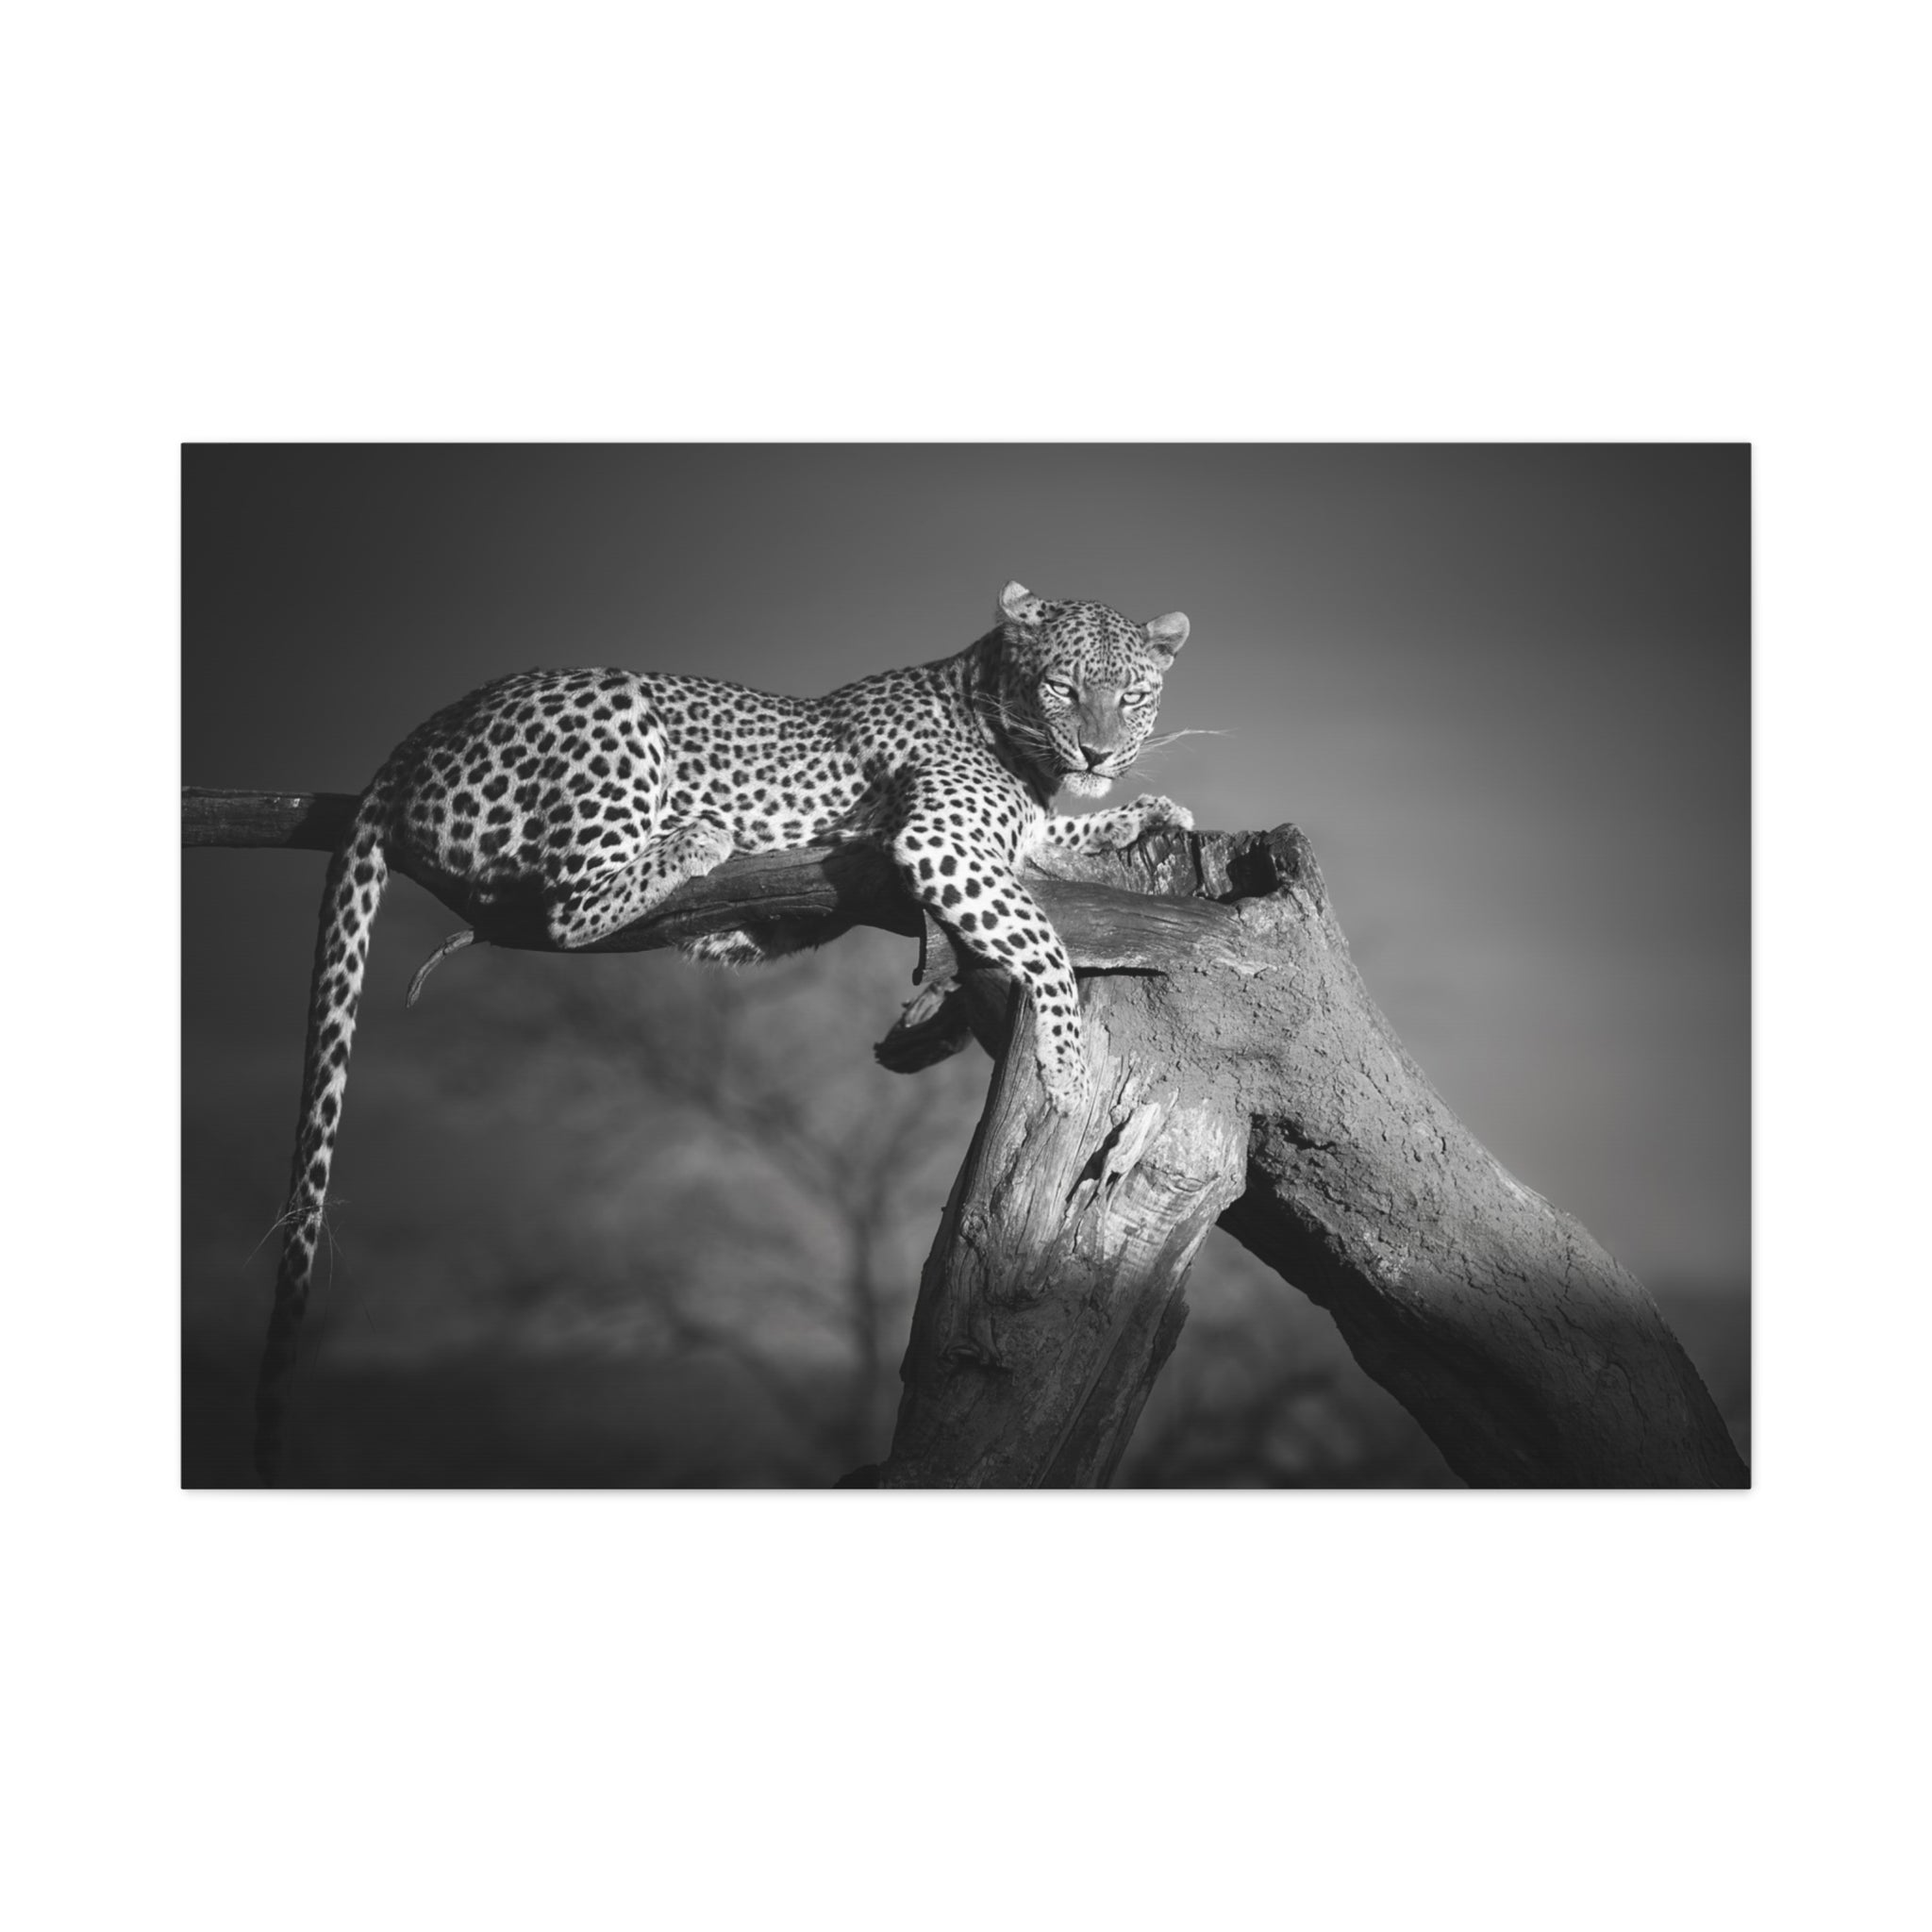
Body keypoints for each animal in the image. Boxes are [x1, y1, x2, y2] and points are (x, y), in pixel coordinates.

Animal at [254, 580, 1193, 1482]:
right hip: (615, 716)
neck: (1009, 727)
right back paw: (697, 837)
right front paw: (1067, 1067)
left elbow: (1052, 846)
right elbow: (1045, 939)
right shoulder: (941, 840)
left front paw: (1143, 814)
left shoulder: (1001, 840)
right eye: (1065, 687)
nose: (1100, 754)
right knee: (566, 907)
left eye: (1133, 696)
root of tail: (423, 732)